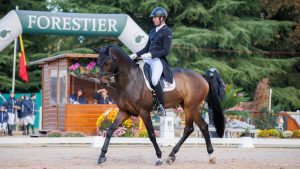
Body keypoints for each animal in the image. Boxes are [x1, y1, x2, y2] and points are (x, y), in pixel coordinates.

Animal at [92, 45, 224, 166]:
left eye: (107, 62)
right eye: (98, 62)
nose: (103, 83)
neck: (130, 79)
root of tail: (202, 76)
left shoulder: (144, 112)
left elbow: (151, 135)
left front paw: (159, 157)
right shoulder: (125, 111)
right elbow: (110, 130)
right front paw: (102, 156)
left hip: (189, 107)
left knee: (188, 129)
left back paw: (171, 155)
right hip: (192, 107)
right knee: (204, 126)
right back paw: (210, 156)